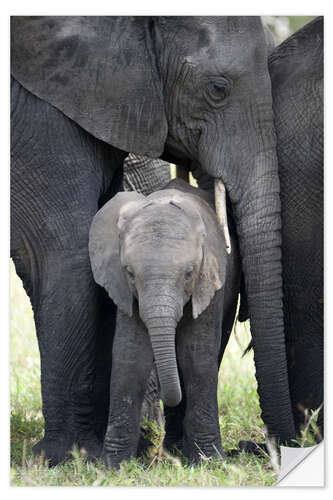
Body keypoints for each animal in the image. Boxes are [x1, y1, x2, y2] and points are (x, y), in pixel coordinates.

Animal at [88, 178, 239, 466]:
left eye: (189, 273)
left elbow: (197, 356)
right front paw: (112, 465)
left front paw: (210, 461)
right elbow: (131, 355)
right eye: (130, 273)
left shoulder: (210, 281)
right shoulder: (124, 290)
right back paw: (174, 448)